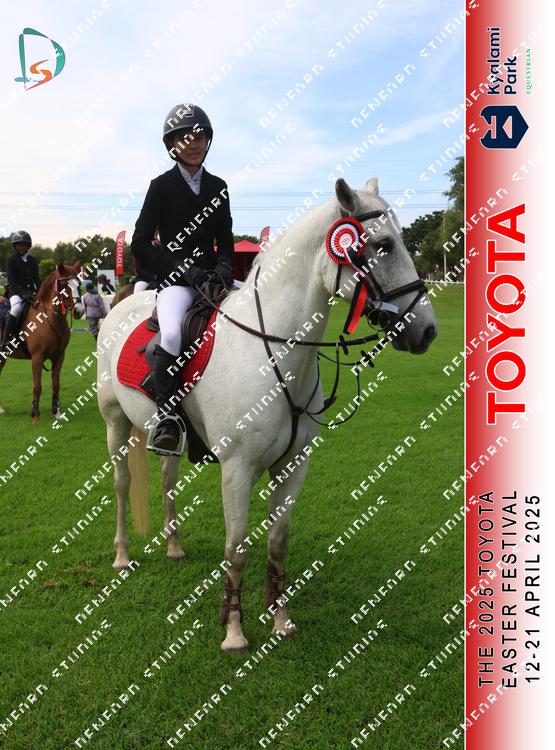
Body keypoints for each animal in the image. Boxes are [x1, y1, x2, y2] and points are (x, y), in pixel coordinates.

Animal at [0, 262, 81, 422]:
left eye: (79, 284)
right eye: (64, 285)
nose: (78, 311)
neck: (48, 319)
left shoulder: (59, 356)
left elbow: (56, 384)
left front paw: (57, 413)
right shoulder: (37, 358)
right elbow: (37, 386)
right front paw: (35, 416)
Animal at [96, 177, 438, 652]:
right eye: (383, 245)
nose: (427, 331)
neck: (273, 351)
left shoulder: (293, 465)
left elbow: (277, 543)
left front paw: (280, 621)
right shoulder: (237, 469)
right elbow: (237, 548)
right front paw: (235, 632)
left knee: (166, 477)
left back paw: (174, 547)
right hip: (114, 422)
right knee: (122, 484)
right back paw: (122, 555)